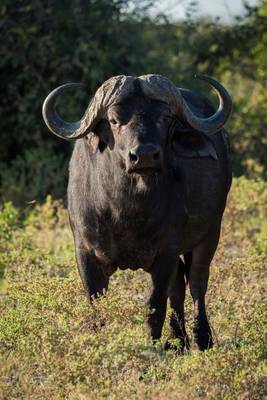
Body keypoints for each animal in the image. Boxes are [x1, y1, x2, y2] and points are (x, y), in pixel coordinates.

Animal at [42, 74, 232, 350]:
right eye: (114, 120)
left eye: (165, 118)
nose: (144, 156)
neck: (126, 212)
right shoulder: (85, 253)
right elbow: (97, 306)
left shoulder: (166, 252)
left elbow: (155, 306)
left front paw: (153, 347)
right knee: (179, 285)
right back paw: (178, 341)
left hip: (210, 234)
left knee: (197, 282)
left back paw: (201, 338)